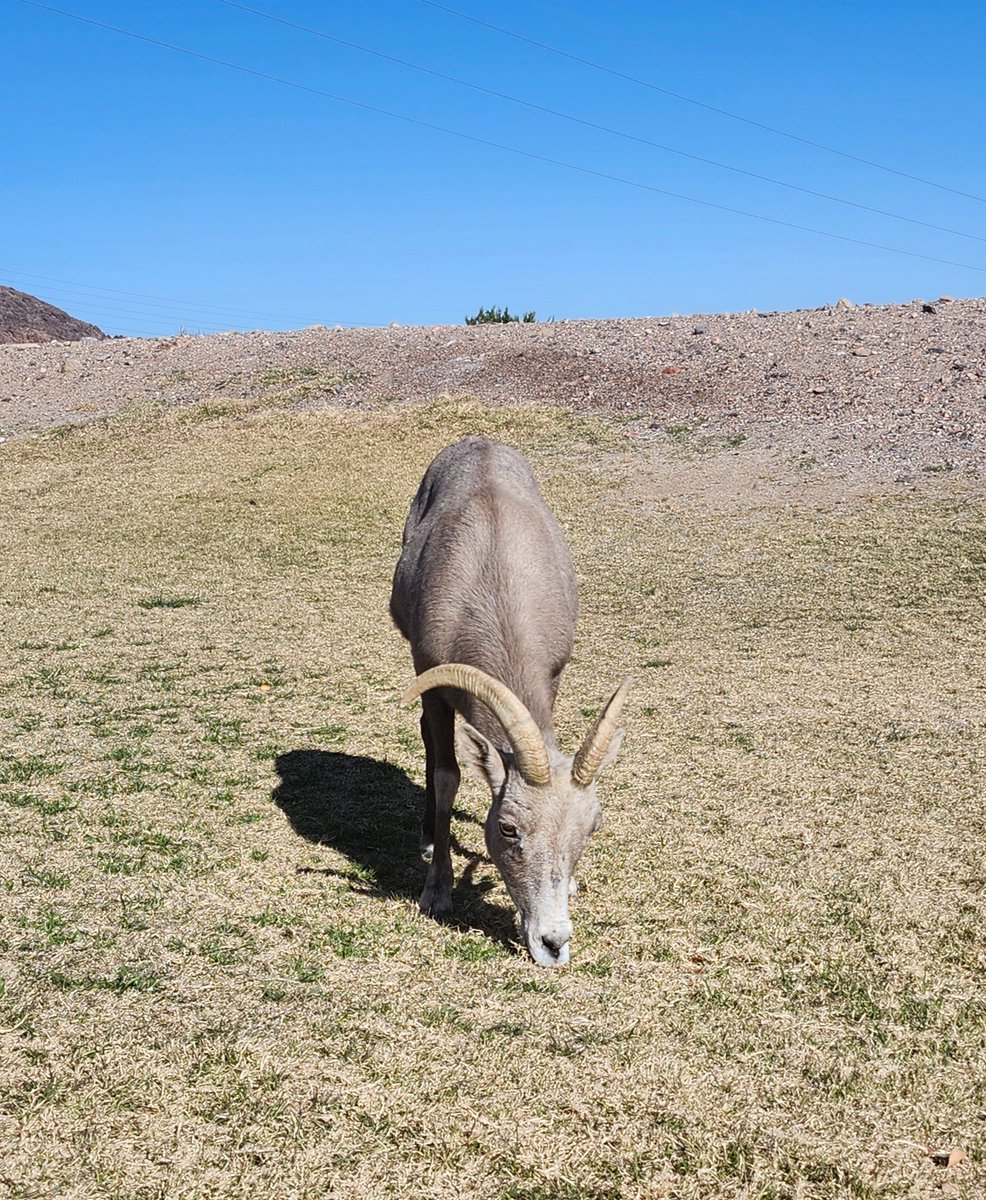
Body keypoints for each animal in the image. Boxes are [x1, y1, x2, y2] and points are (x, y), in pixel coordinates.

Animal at [390, 435, 629, 966]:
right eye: (507, 829)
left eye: (592, 828)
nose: (553, 944)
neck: (492, 581)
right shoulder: (431, 679)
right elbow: (446, 775)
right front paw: (436, 891)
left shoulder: (554, 675)